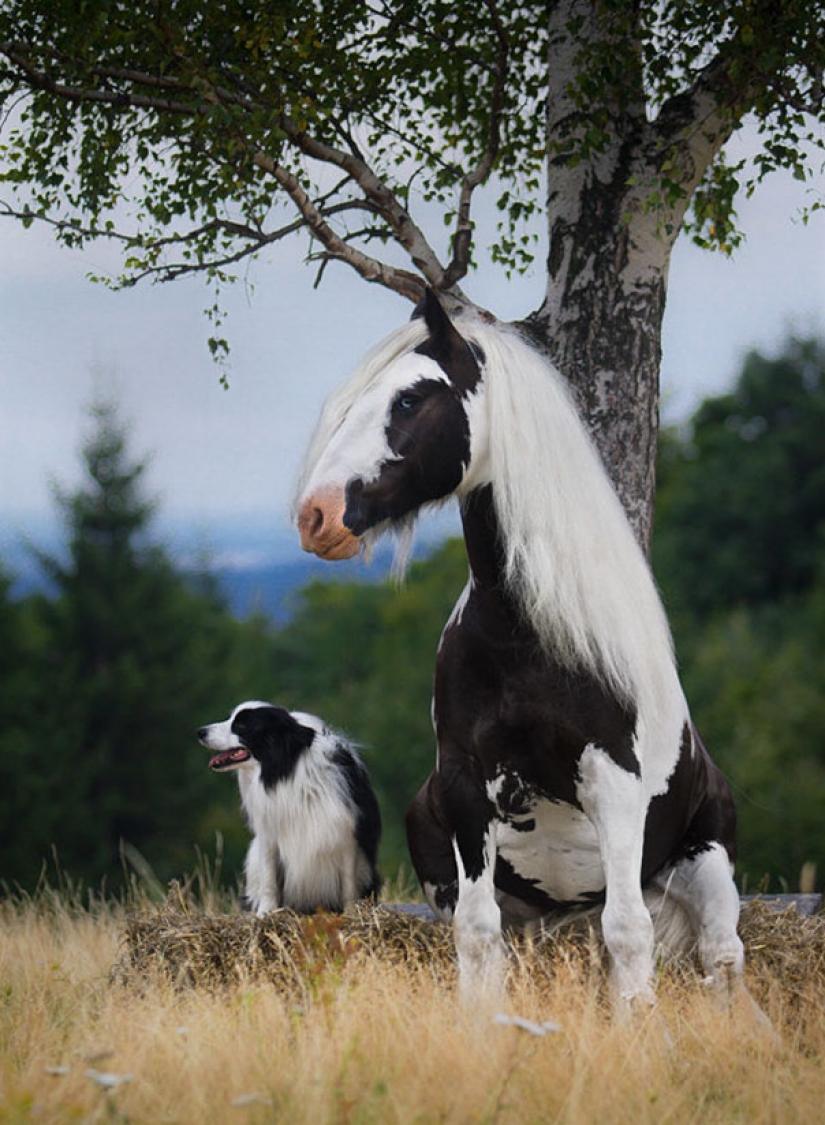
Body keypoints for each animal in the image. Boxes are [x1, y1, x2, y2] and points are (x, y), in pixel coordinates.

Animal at [198, 702, 380, 913]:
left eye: (241, 725)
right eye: (230, 718)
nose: (200, 732)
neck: (285, 770)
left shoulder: (347, 834)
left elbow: (349, 885)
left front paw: (351, 913)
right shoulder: (268, 834)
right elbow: (269, 879)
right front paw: (265, 913)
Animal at [292, 290, 742, 1012]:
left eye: (409, 399)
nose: (316, 515)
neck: (526, 637)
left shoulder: (614, 785)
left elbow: (629, 932)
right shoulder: (464, 786)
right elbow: (477, 935)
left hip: (708, 865)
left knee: (722, 956)